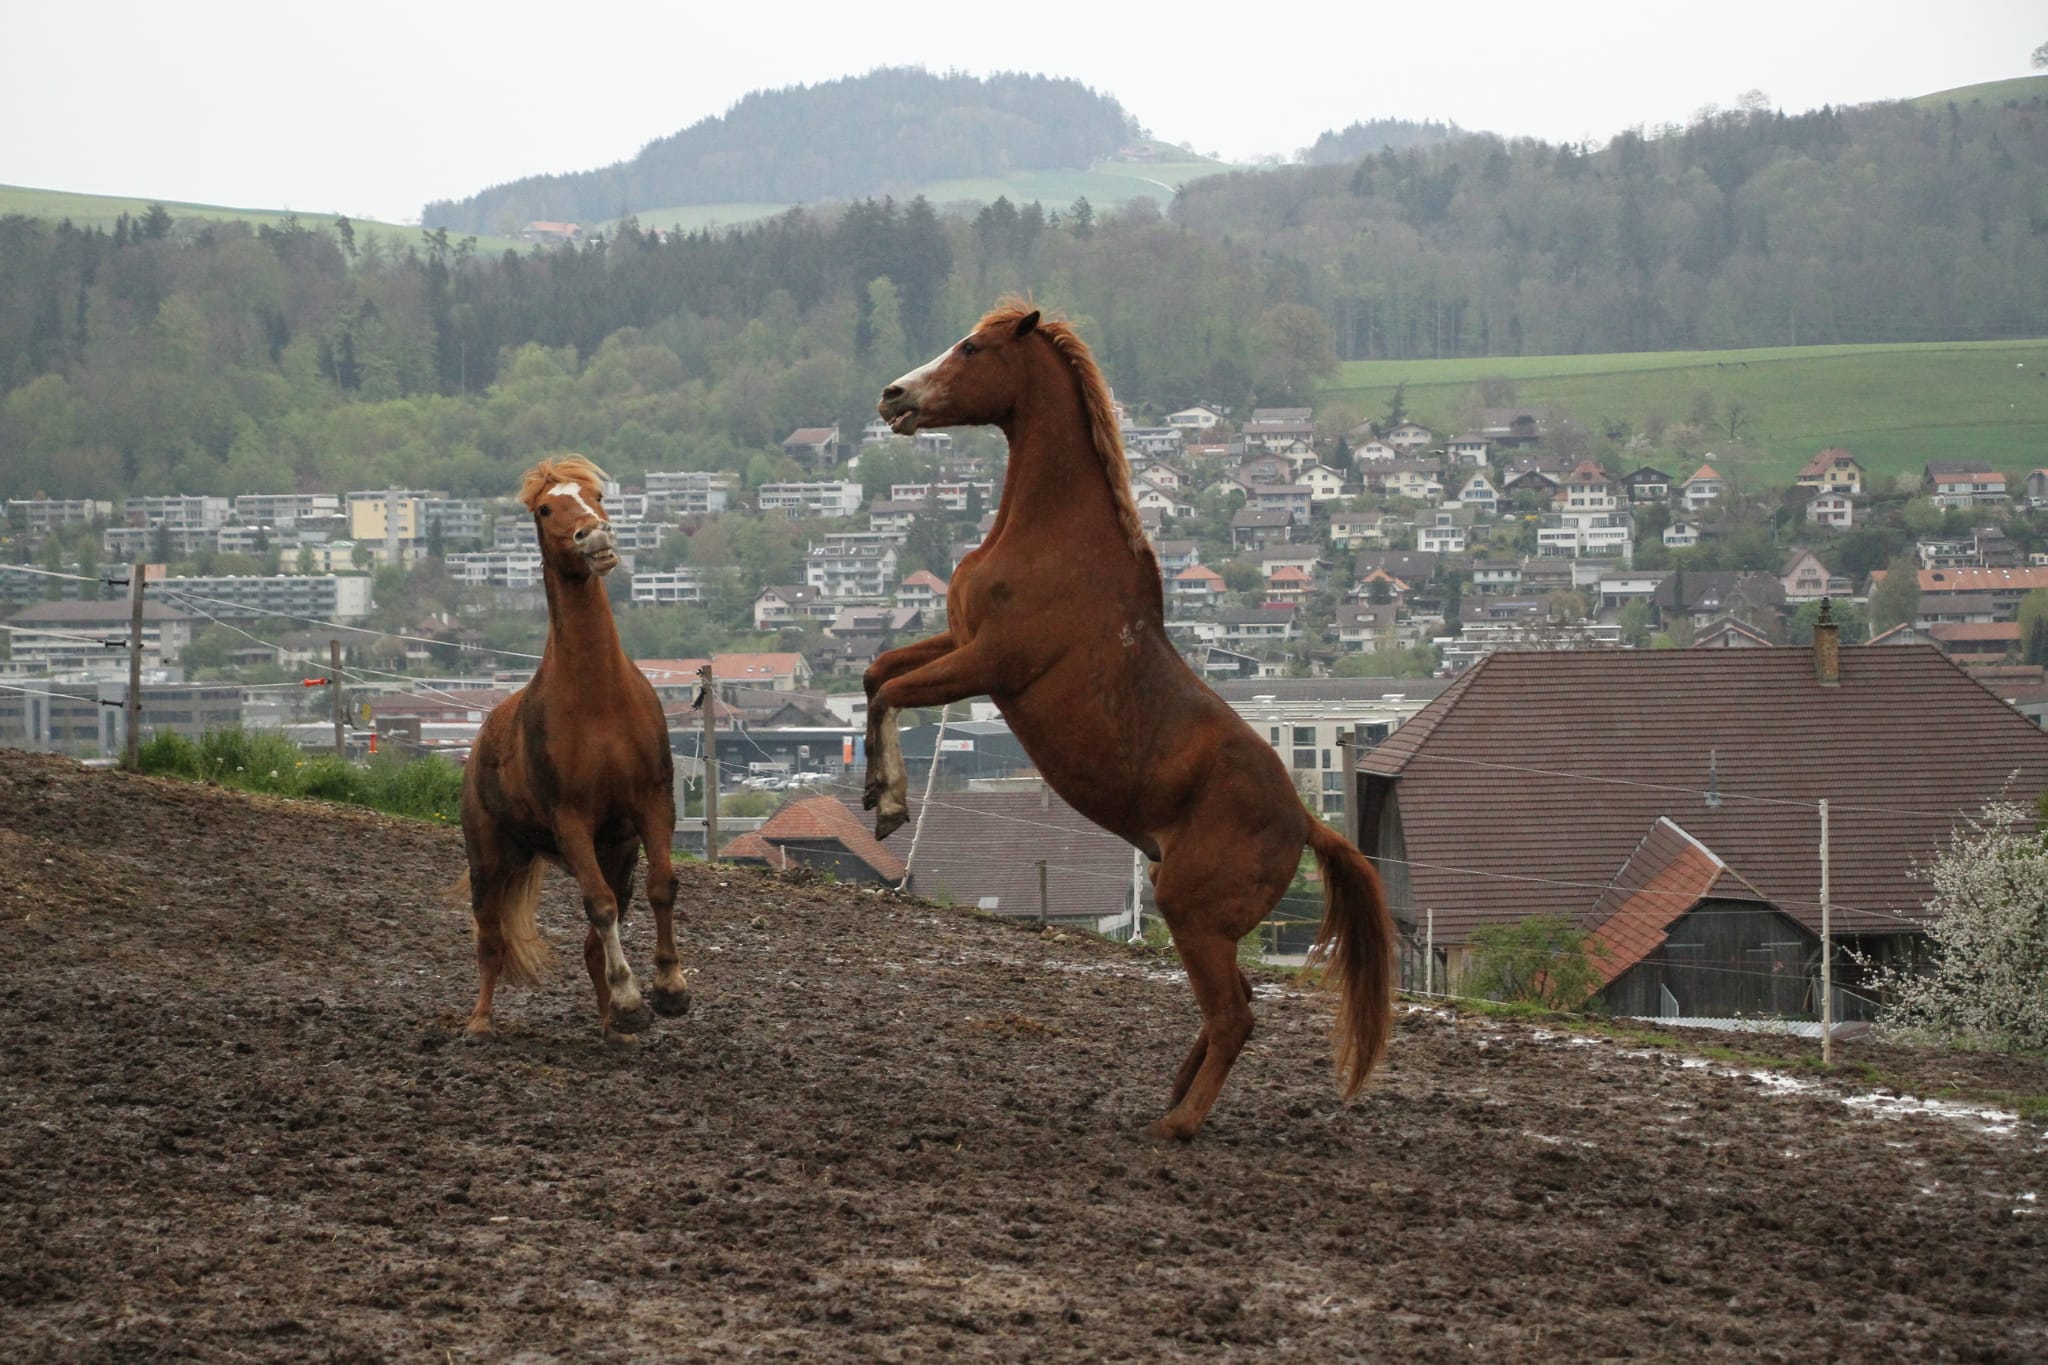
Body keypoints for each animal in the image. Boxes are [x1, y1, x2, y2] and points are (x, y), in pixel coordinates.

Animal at [456, 456, 691, 1040]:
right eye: (545, 509)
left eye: (597, 495)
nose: (595, 535)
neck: (598, 700)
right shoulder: (572, 821)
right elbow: (599, 907)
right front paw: (632, 998)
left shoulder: (652, 806)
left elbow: (662, 886)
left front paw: (668, 990)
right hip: (488, 859)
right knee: (490, 941)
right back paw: (480, 1022)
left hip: (615, 853)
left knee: (590, 945)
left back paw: (612, 1025)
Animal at [867, 300, 1397, 1140]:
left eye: (972, 348)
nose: (894, 397)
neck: (1050, 535)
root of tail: (1309, 823)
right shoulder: (958, 640)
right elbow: (876, 673)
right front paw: (873, 794)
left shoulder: (990, 664)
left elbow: (890, 690)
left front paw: (889, 801)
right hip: (1196, 914)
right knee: (1231, 1010)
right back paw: (1173, 1097)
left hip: (1191, 911)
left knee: (1235, 1015)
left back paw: (1179, 1124)